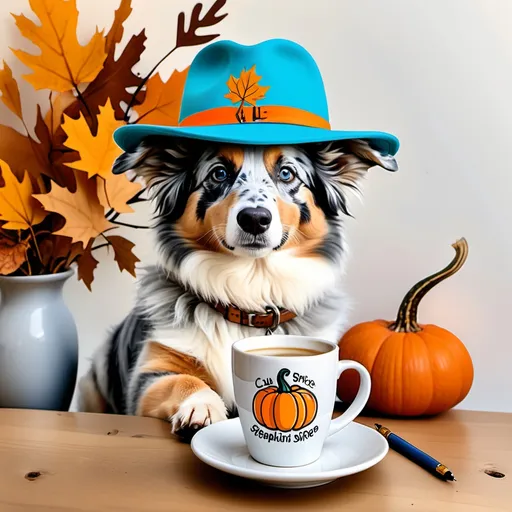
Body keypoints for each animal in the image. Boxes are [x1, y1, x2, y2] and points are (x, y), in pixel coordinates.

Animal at [77, 134, 396, 438]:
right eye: (219, 173)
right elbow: (184, 380)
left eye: (287, 173)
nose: (254, 219)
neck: (250, 290)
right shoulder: (149, 375)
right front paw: (202, 407)